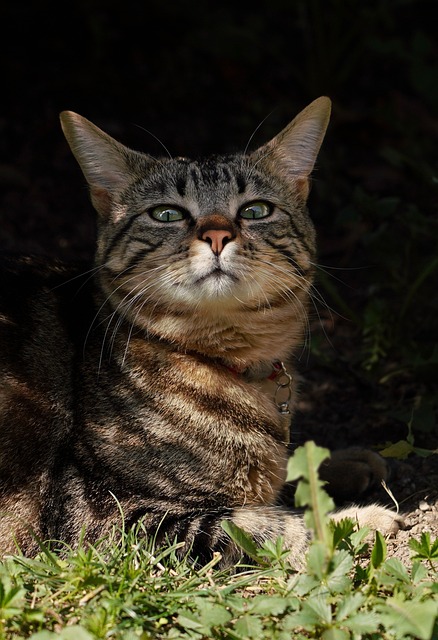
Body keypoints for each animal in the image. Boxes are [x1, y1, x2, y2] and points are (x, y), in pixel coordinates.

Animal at [0, 96, 404, 564]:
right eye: (167, 214)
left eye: (255, 210)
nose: (216, 235)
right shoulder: (99, 518)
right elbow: (266, 524)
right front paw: (360, 520)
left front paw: (333, 464)